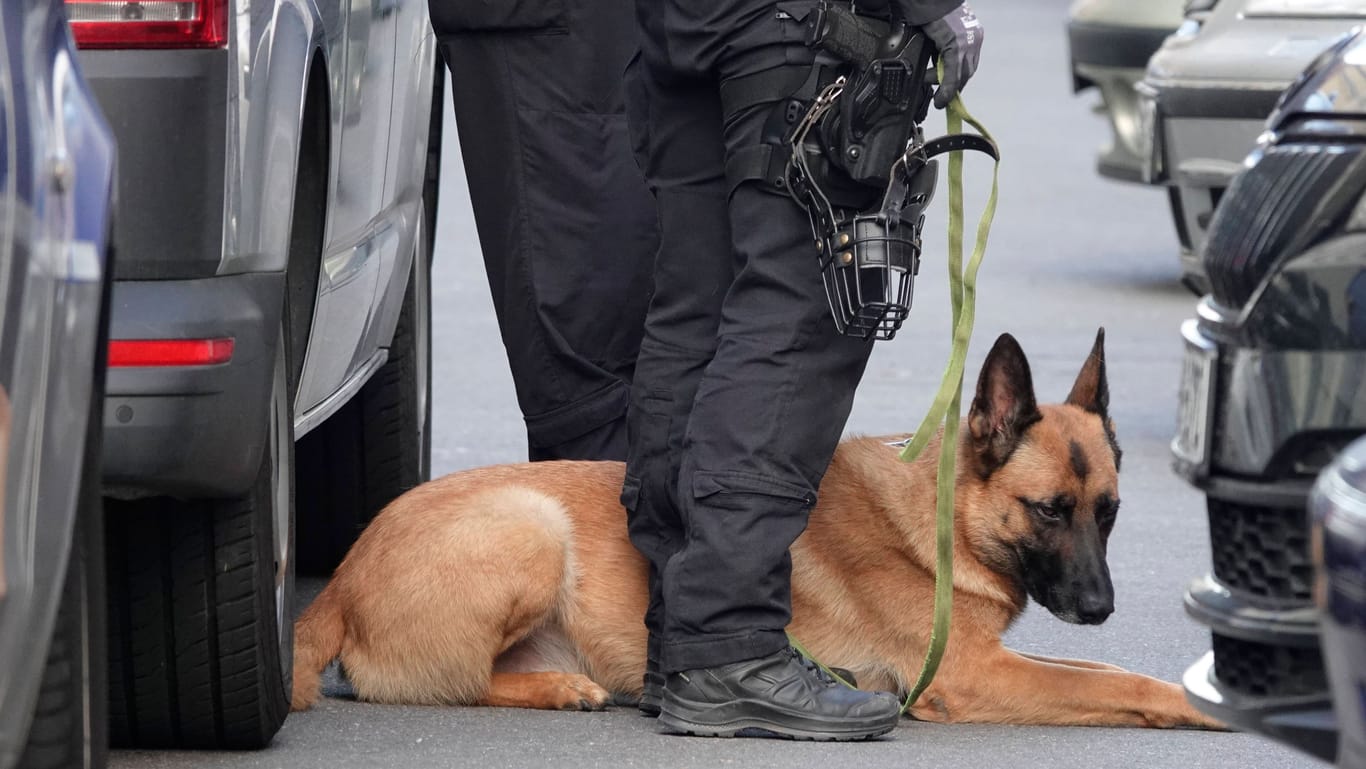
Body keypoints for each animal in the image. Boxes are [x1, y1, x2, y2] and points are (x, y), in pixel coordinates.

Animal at [293, 330, 1223, 726]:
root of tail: (339, 580)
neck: (937, 521)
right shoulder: (973, 678)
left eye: (1108, 512)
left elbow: (1108, 670)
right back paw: (562, 689)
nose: (1101, 606)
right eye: (1048, 510)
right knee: (433, 683)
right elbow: (1120, 685)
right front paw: (1203, 706)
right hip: (531, 525)